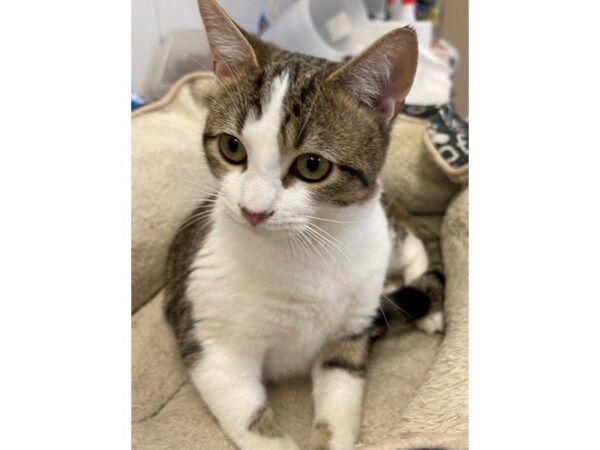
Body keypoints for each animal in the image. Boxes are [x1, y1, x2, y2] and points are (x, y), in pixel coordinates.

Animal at [164, 1, 446, 448]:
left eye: (313, 165)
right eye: (231, 146)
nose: (253, 211)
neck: (303, 250)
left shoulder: (349, 333)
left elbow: (340, 399)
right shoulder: (210, 338)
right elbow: (249, 416)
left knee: (417, 240)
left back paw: (426, 308)